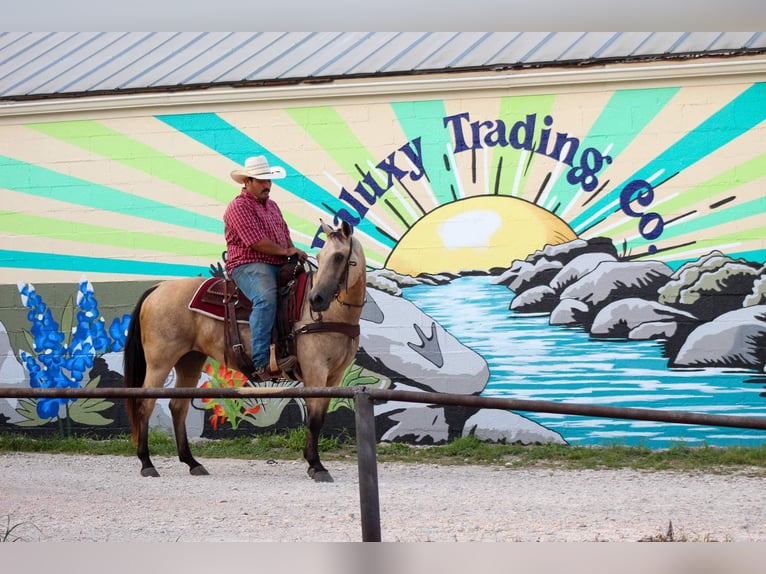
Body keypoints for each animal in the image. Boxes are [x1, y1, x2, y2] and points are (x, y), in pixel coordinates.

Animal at [124, 223, 368, 484]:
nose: (316, 299)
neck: (330, 315)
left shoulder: (334, 375)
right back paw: (147, 464)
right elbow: (314, 419)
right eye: (321, 257)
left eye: (339, 256)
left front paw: (314, 464)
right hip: (159, 362)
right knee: (144, 404)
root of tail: (157, 287)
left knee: (178, 407)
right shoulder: (315, 371)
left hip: (189, 361)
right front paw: (317, 466)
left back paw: (192, 463)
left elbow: (320, 417)